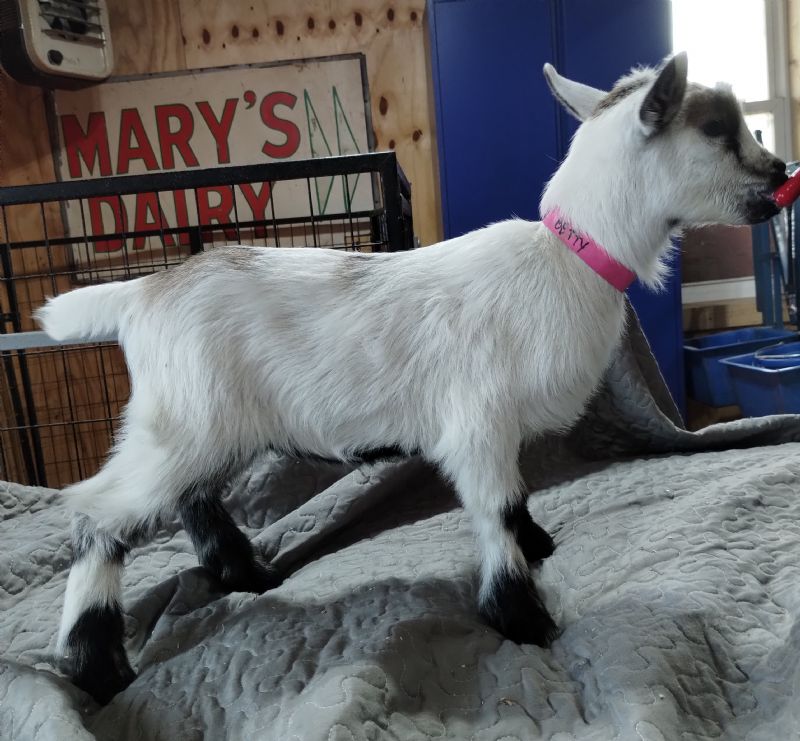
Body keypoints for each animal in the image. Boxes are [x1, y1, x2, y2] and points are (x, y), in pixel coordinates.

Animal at [36, 52, 787, 704]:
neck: (567, 260)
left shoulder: (498, 433)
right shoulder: (478, 426)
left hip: (208, 428)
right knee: (94, 513)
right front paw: (522, 617)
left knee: (194, 499)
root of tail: (142, 292)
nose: (781, 168)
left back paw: (250, 575)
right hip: (182, 425)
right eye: (718, 131)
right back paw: (96, 667)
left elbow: (517, 500)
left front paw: (538, 547)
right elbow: (496, 509)